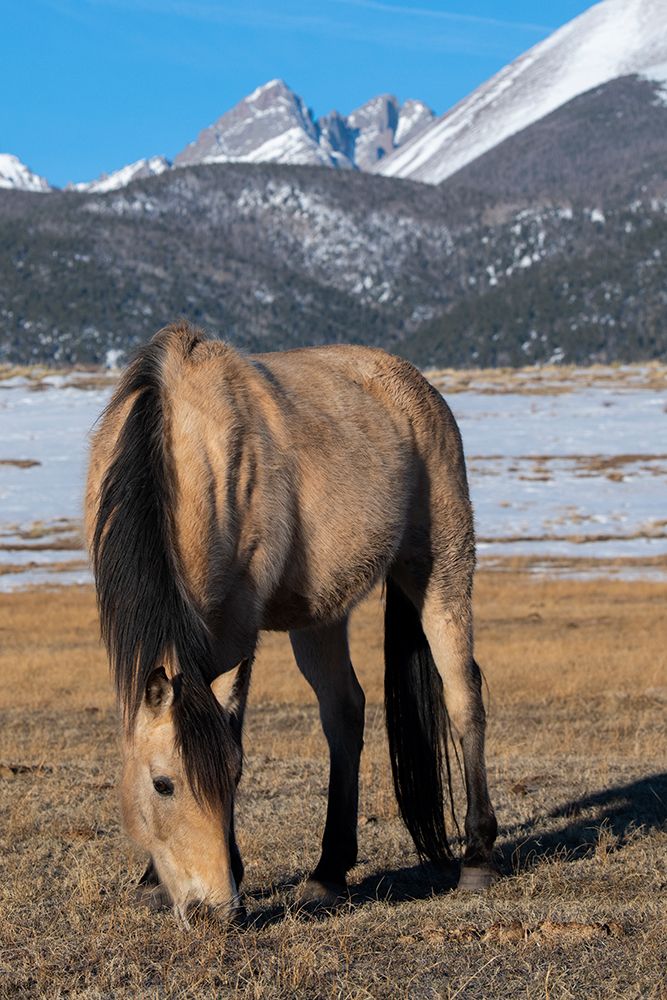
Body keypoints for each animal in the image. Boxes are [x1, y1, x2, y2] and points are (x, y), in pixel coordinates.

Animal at [85, 322, 496, 928]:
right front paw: (151, 883)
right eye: (162, 784)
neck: (177, 442)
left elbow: (232, 725)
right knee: (345, 711)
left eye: (233, 776)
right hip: (322, 614)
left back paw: (477, 858)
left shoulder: (237, 623)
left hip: (441, 567)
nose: (212, 911)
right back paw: (328, 872)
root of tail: (419, 388)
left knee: (463, 695)